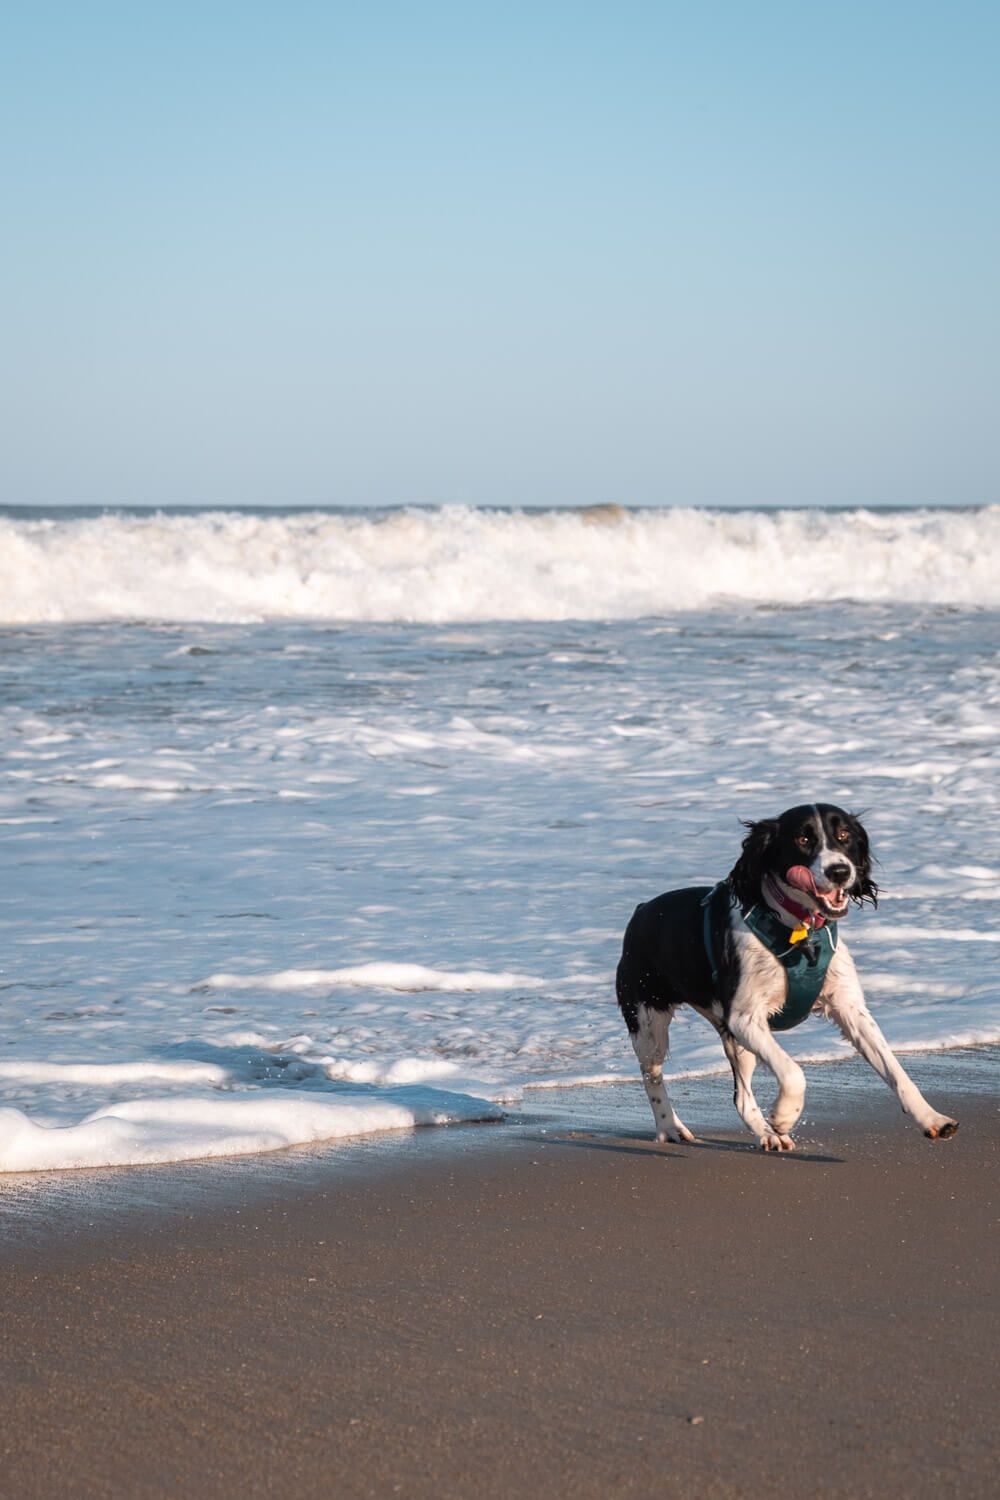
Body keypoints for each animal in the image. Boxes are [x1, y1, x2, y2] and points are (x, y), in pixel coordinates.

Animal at [617, 810, 959, 1146]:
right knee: (652, 1076)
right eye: (803, 839)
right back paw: (671, 1128)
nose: (839, 871)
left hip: (733, 1041)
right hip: (649, 1023)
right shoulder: (744, 1018)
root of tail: (640, 912)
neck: (799, 932)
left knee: (741, 1097)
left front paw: (933, 1119)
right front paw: (784, 1116)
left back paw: (768, 1136)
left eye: (844, 835)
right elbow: (794, 1073)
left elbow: (896, 1071)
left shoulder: (848, 1007)